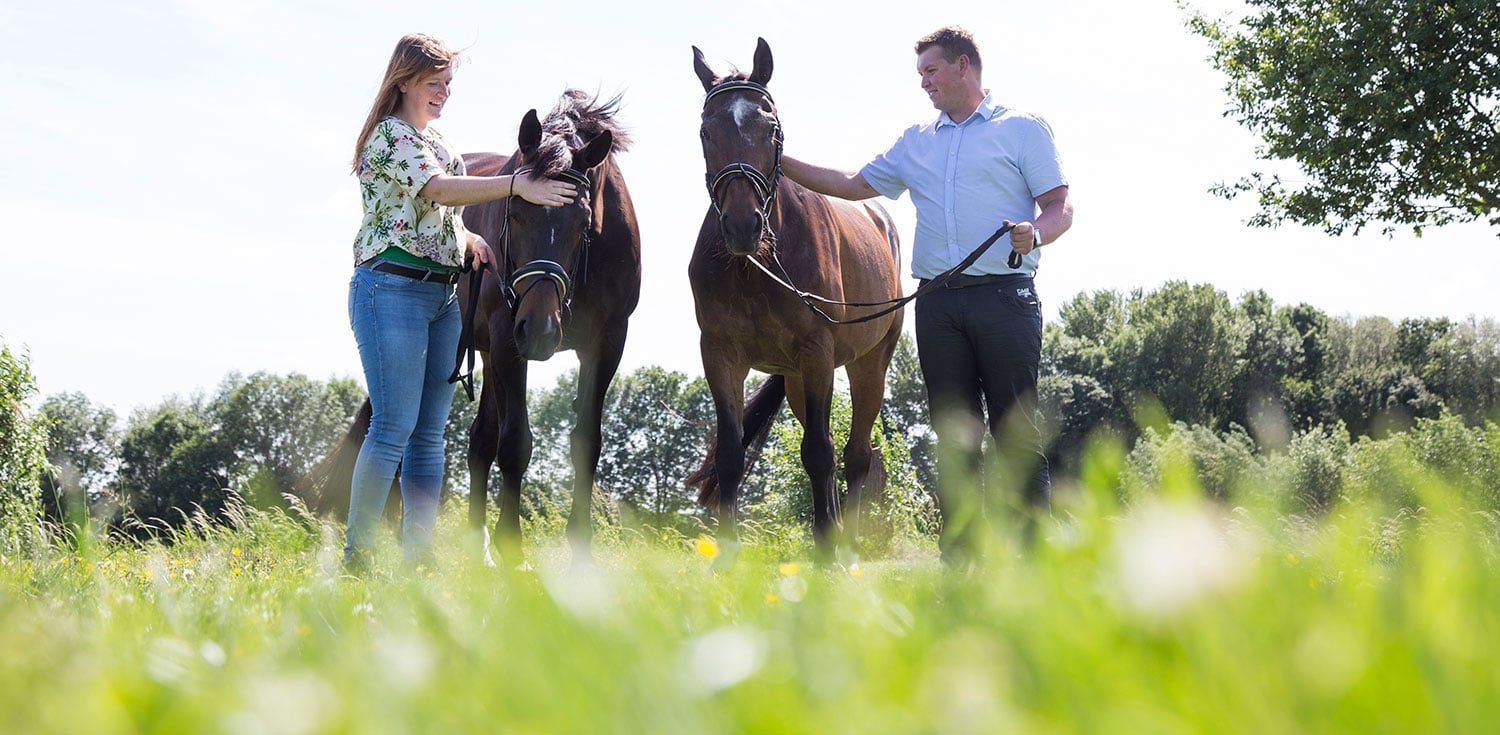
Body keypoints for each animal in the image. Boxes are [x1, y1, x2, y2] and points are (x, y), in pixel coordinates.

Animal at [687, 40, 900, 567]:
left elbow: (819, 452)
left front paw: (826, 548)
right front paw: (727, 553)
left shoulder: (817, 352)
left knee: (854, 454)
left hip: (867, 364)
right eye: (706, 131)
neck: (756, 267)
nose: (742, 224)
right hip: (799, 380)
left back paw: (848, 544)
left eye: (771, 128)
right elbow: (731, 452)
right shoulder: (720, 354)